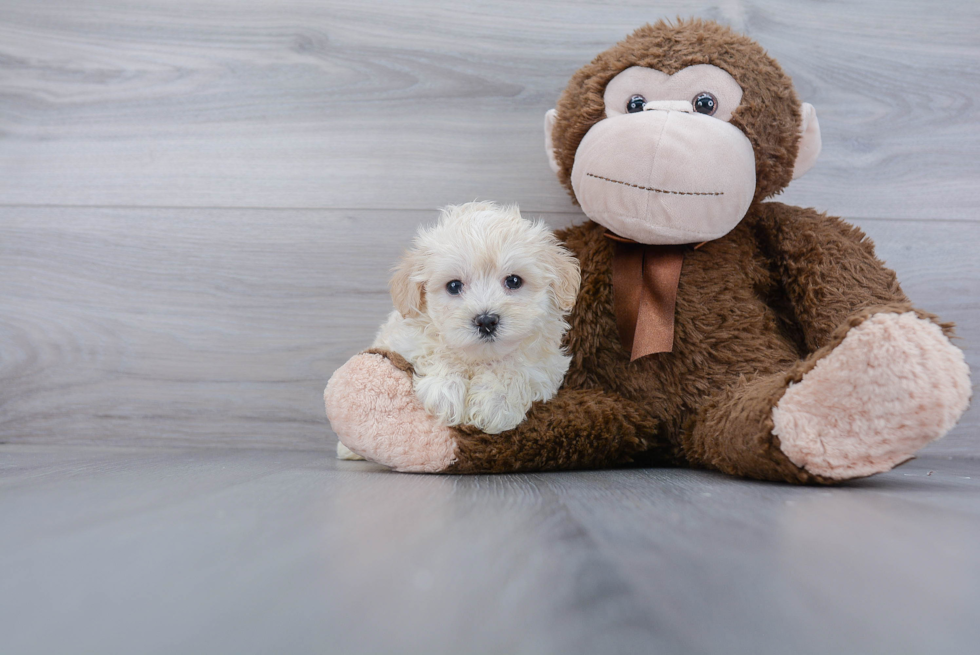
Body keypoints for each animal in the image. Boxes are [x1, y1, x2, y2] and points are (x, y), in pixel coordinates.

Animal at [338, 200, 580, 462]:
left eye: (514, 281)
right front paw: (445, 391)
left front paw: (494, 402)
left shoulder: (545, 368)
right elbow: (437, 352)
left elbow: (515, 366)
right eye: (454, 286)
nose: (486, 321)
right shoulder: (406, 341)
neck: (478, 357)